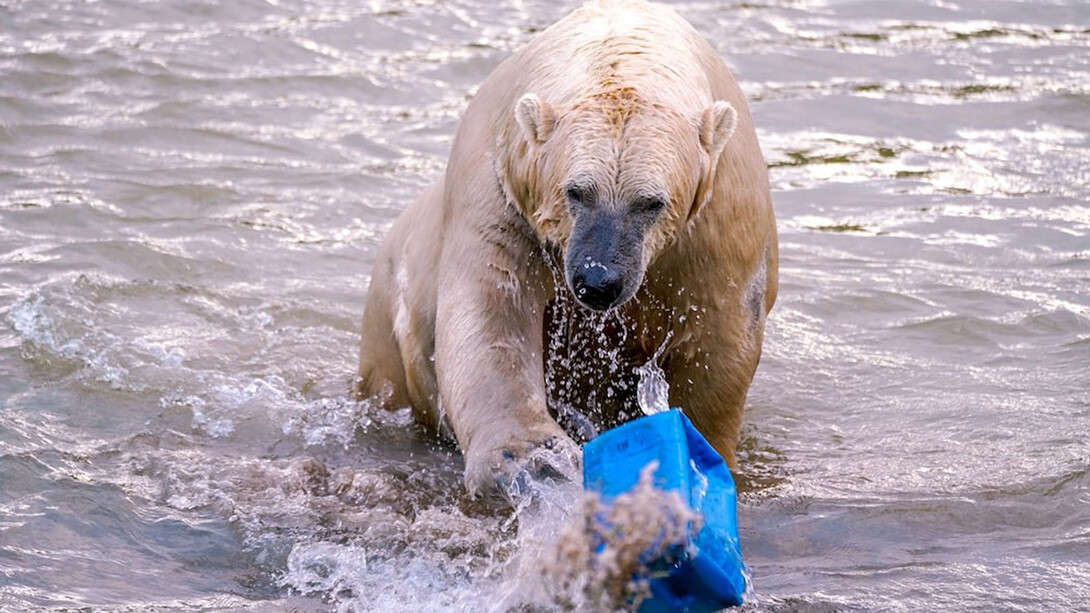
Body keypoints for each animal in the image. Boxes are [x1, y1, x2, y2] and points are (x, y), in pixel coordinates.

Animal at [356, 0, 778, 503]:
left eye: (651, 202)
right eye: (576, 191)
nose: (598, 281)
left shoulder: (721, 217)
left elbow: (720, 335)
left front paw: (700, 457)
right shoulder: (500, 183)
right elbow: (493, 305)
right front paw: (532, 457)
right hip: (387, 324)